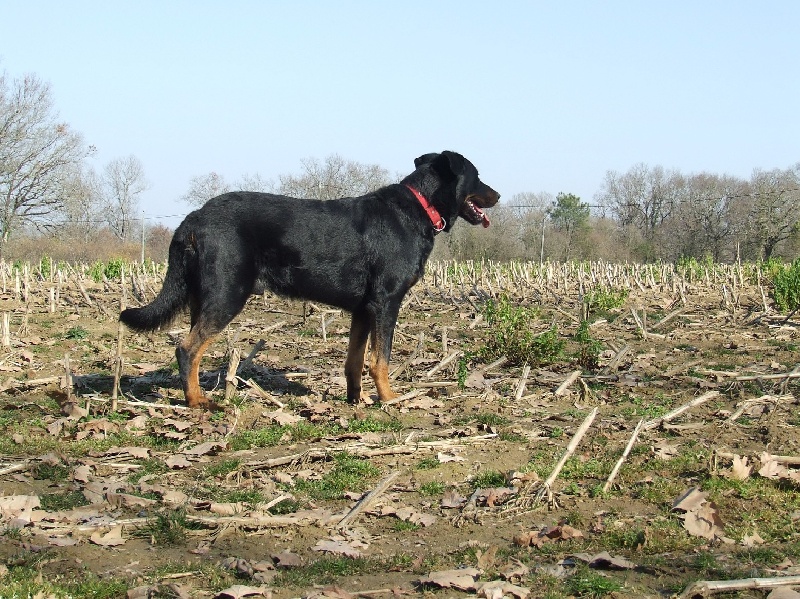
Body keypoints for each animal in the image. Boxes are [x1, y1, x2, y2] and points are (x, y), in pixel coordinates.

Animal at [119, 152, 496, 410]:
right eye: (477, 176)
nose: (499, 196)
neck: (418, 209)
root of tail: (194, 218)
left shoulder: (363, 311)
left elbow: (354, 362)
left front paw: (355, 402)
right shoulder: (386, 303)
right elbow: (381, 360)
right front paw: (389, 399)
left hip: (204, 298)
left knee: (193, 350)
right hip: (227, 296)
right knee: (186, 349)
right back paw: (198, 402)